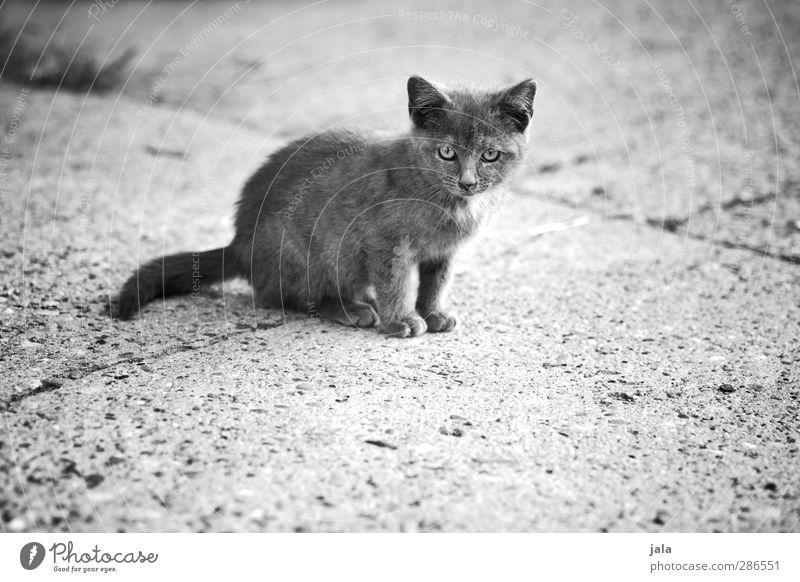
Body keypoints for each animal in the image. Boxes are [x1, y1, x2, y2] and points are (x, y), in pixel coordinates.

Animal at [117, 74, 536, 338]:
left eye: (490, 154)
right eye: (447, 152)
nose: (468, 181)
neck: (449, 202)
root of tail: (239, 246)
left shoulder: (444, 252)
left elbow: (435, 282)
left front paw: (432, 312)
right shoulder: (385, 242)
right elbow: (396, 281)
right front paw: (401, 319)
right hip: (315, 250)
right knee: (285, 297)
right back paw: (352, 308)